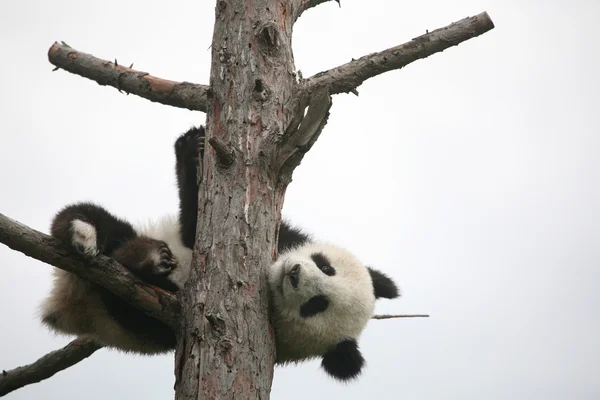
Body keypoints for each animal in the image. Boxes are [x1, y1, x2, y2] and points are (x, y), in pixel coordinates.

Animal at [41, 126, 398, 382]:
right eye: (325, 266)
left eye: (316, 305)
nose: (294, 272)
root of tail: (65, 302)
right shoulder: (281, 235)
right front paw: (193, 147)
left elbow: (193, 228)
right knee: (92, 218)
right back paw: (85, 233)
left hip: (131, 324)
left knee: (129, 304)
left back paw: (147, 261)